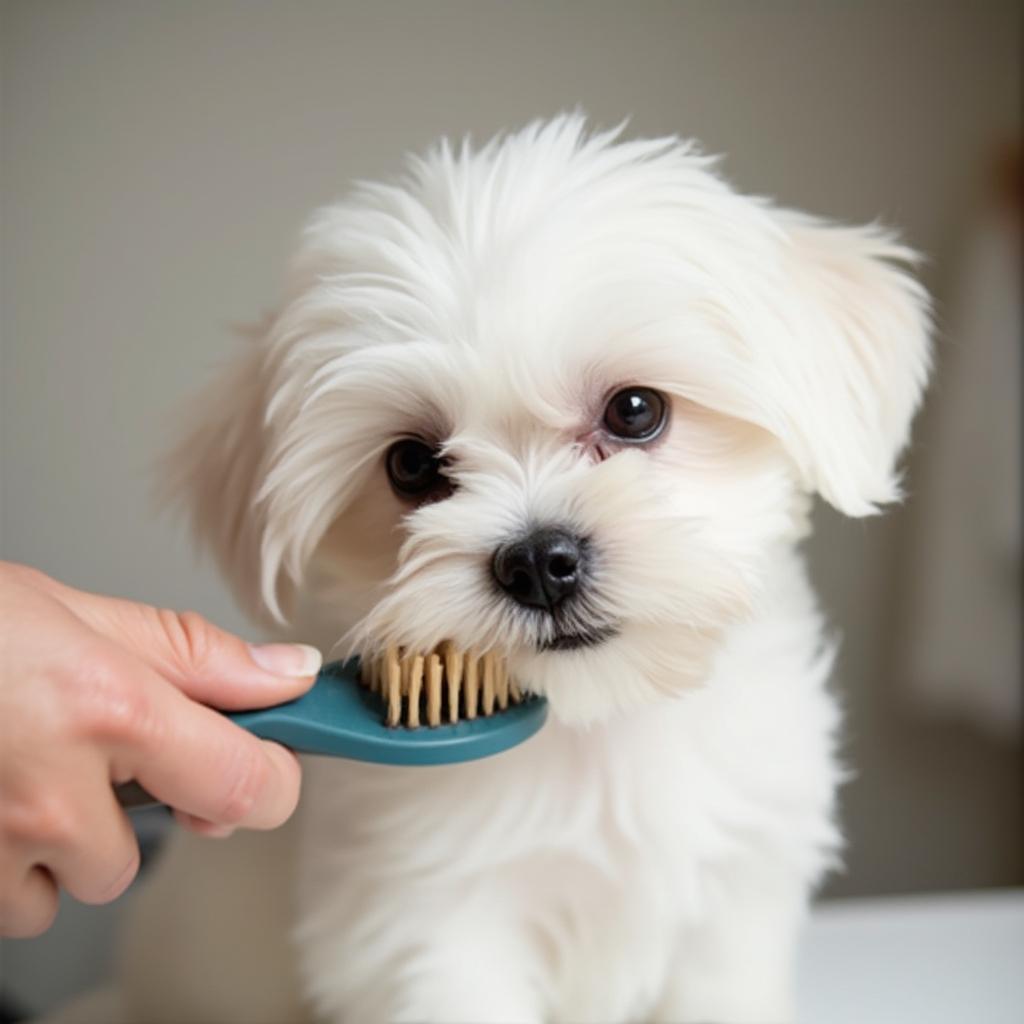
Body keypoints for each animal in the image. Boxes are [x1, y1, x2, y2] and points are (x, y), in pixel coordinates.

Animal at [92, 116, 933, 1019]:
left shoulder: (738, 889)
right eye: (412, 465)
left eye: (636, 410)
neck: (598, 726)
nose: (537, 561)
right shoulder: (427, 923)